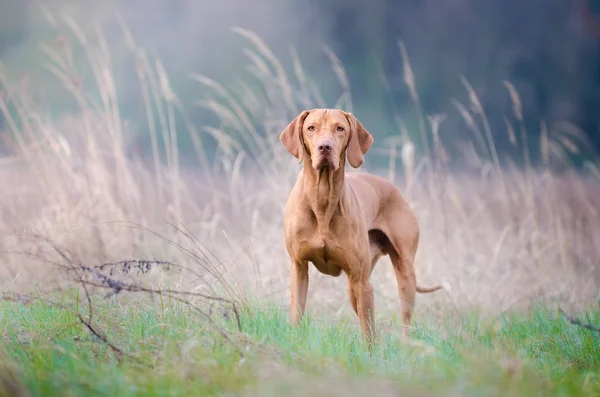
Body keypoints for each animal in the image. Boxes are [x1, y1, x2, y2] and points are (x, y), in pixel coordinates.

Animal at [278, 107, 442, 344]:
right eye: (311, 128)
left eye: (340, 128)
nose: (325, 147)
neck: (323, 199)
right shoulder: (299, 267)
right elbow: (296, 314)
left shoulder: (361, 281)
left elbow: (368, 333)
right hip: (354, 287)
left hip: (402, 275)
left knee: (404, 319)